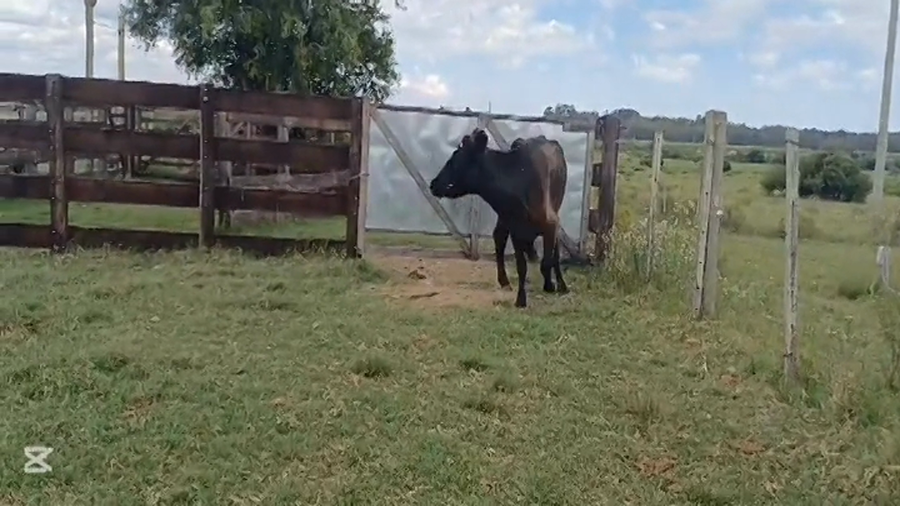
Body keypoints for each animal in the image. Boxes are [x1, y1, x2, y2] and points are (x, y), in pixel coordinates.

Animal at [429, 128, 568, 308]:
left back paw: (560, 284)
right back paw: (505, 281)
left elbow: (548, 261)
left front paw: (550, 285)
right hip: (504, 219)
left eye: (454, 161)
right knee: (499, 237)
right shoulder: (516, 229)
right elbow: (521, 266)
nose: (433, 184)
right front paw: (521, 299)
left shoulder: (551, 223)